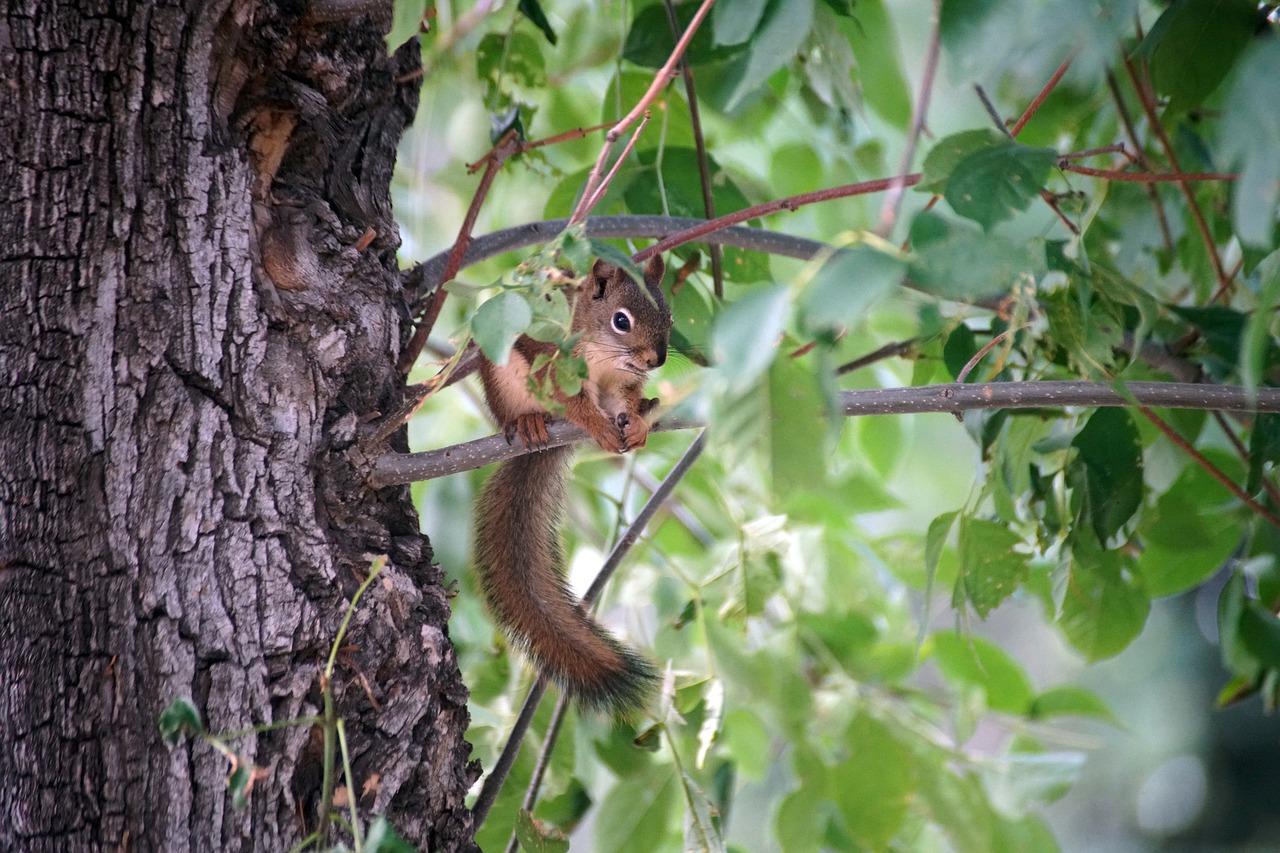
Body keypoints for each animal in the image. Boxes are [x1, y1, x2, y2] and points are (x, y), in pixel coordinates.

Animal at [471, 252, 670, 712]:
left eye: (669, 314)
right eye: (621, 320)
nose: (657, 360)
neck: (603, 355)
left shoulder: (621, 382)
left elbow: (624, 399)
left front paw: (634, 422)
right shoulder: (550, 361)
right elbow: (571, 401)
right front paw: (595, 425)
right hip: (504, 382)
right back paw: (528, 422)